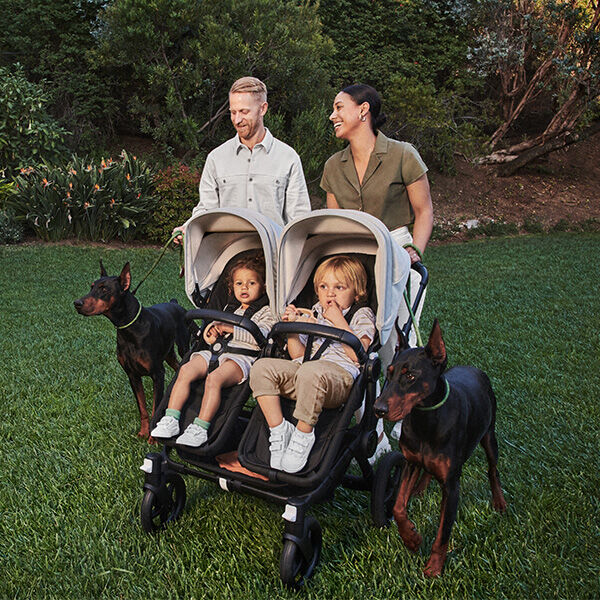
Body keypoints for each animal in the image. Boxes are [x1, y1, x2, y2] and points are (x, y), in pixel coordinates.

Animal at [74, 262, 192, 440]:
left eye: (104, 289)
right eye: (92, 286)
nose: (77, 303)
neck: (131, 329)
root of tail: (175, 303)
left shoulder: (157, 373)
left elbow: (154, 408)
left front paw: (153, 439)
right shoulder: (132, 375)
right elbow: (142, 408)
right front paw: (143, 432)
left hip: (184, 347)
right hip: (169, 354)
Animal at [376, 318, 506, 576]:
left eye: (410, 376)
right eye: (389, 372)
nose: (378, 409)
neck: (426, 420)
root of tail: (473, 368)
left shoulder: (452, 485)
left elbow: (443, 532)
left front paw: (434, 567)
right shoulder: (410, 461)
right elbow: (398, 506)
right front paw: (411, 539)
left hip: (489, 435)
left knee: (492, 470)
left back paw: (499, 502)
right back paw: (419, 489)